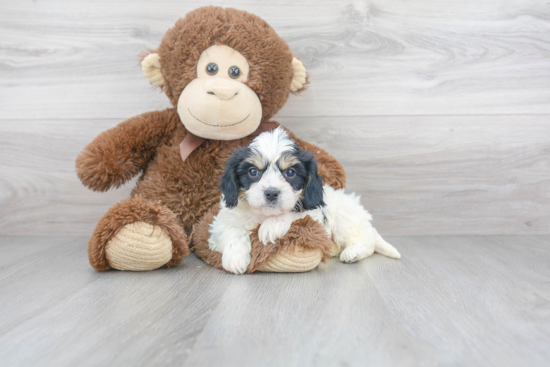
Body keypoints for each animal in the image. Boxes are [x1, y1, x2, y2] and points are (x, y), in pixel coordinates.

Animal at [210, 128, 402, 274]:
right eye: (253, 172)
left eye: (290, 173)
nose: (271, 193)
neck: (264, 215)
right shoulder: (224, 218)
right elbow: (231, 230)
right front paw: (235, 258)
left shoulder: (314, 214)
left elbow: (295, 215)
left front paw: (271, 226)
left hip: (346, 220)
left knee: (367, 244)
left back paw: (353, 253)